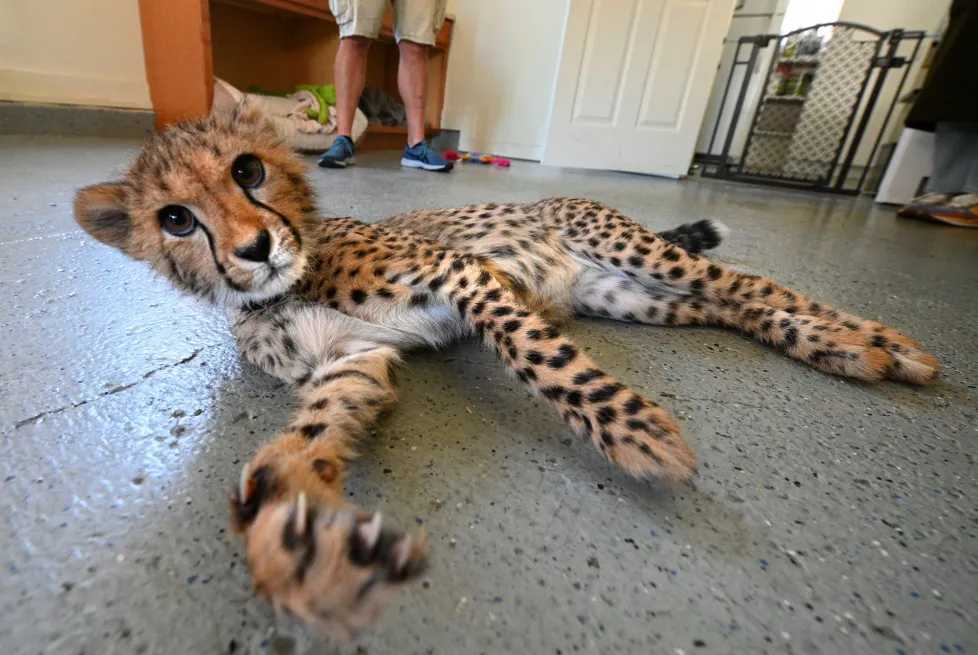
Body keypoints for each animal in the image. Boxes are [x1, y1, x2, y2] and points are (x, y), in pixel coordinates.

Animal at [72, 99, 939, 641]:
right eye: (175, 219)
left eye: (248, 171)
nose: (254, 248)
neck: (288, 282)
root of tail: (561, 200)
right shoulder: (353, 363)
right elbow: (300, 446)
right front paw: (303, 550)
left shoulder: (465, 275)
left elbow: (539, 356)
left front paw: (636, 432)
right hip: (632, 297)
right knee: (736, 307)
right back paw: (848, 349)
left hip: (635, 254)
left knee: (753, 283)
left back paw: (891, 343)